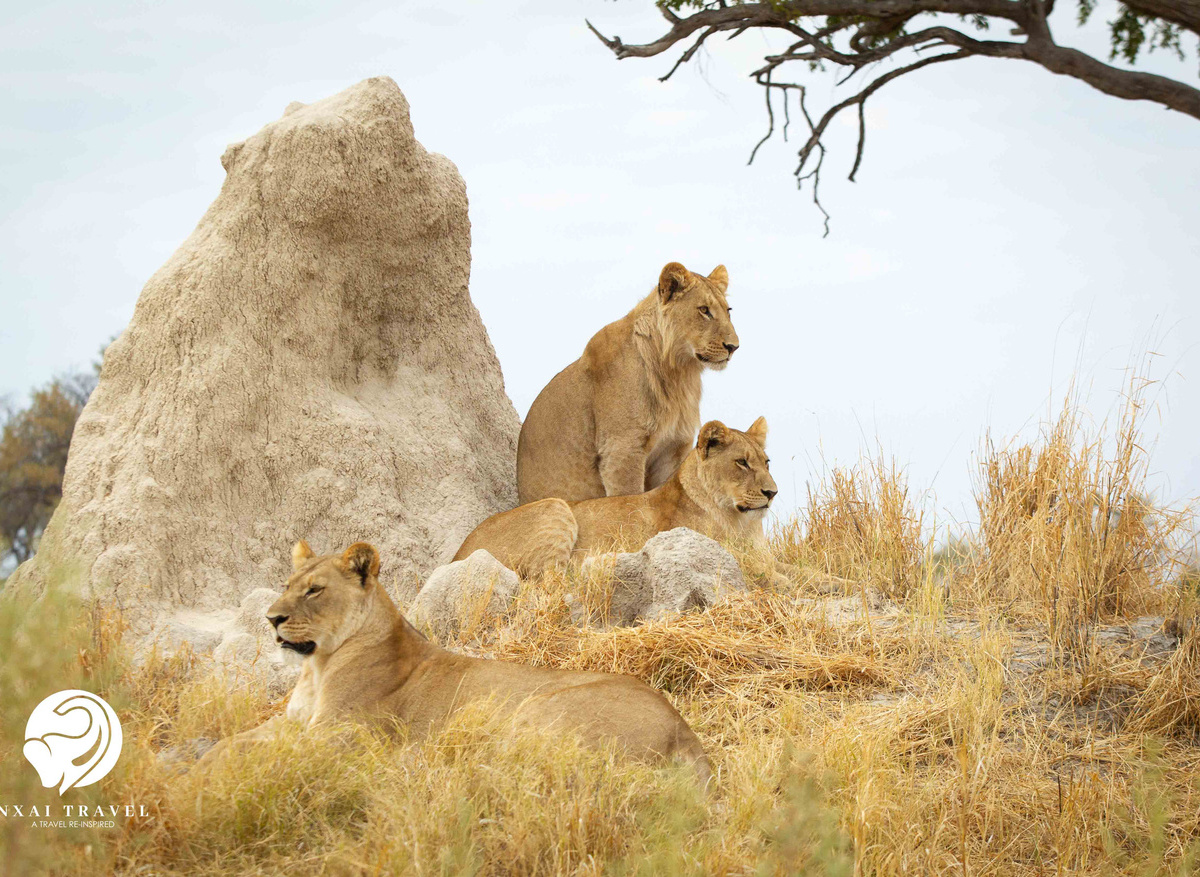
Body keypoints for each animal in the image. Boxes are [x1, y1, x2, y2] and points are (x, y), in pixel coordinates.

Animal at [197, 541, 711, 783]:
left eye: (315, 590)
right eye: (287, 584)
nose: (271, 618)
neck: (318, 665)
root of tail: (682, 727)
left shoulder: (338, 735)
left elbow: (263, 753)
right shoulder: (297, 722)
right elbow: (236, 741)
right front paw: (199, 764)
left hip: (536, 710)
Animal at [457, 417, 776, 578]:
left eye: (766, 462)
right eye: (742, 463)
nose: (772, 493)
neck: (740, 521)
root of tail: (457, 553)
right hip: (555, 507)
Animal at [516, 261, 739, 505]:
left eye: (728, 311)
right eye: (704, 310)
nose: (734, 347)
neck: (678, 373)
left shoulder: (672, 448)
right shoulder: (621, 449)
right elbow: (628, 498)